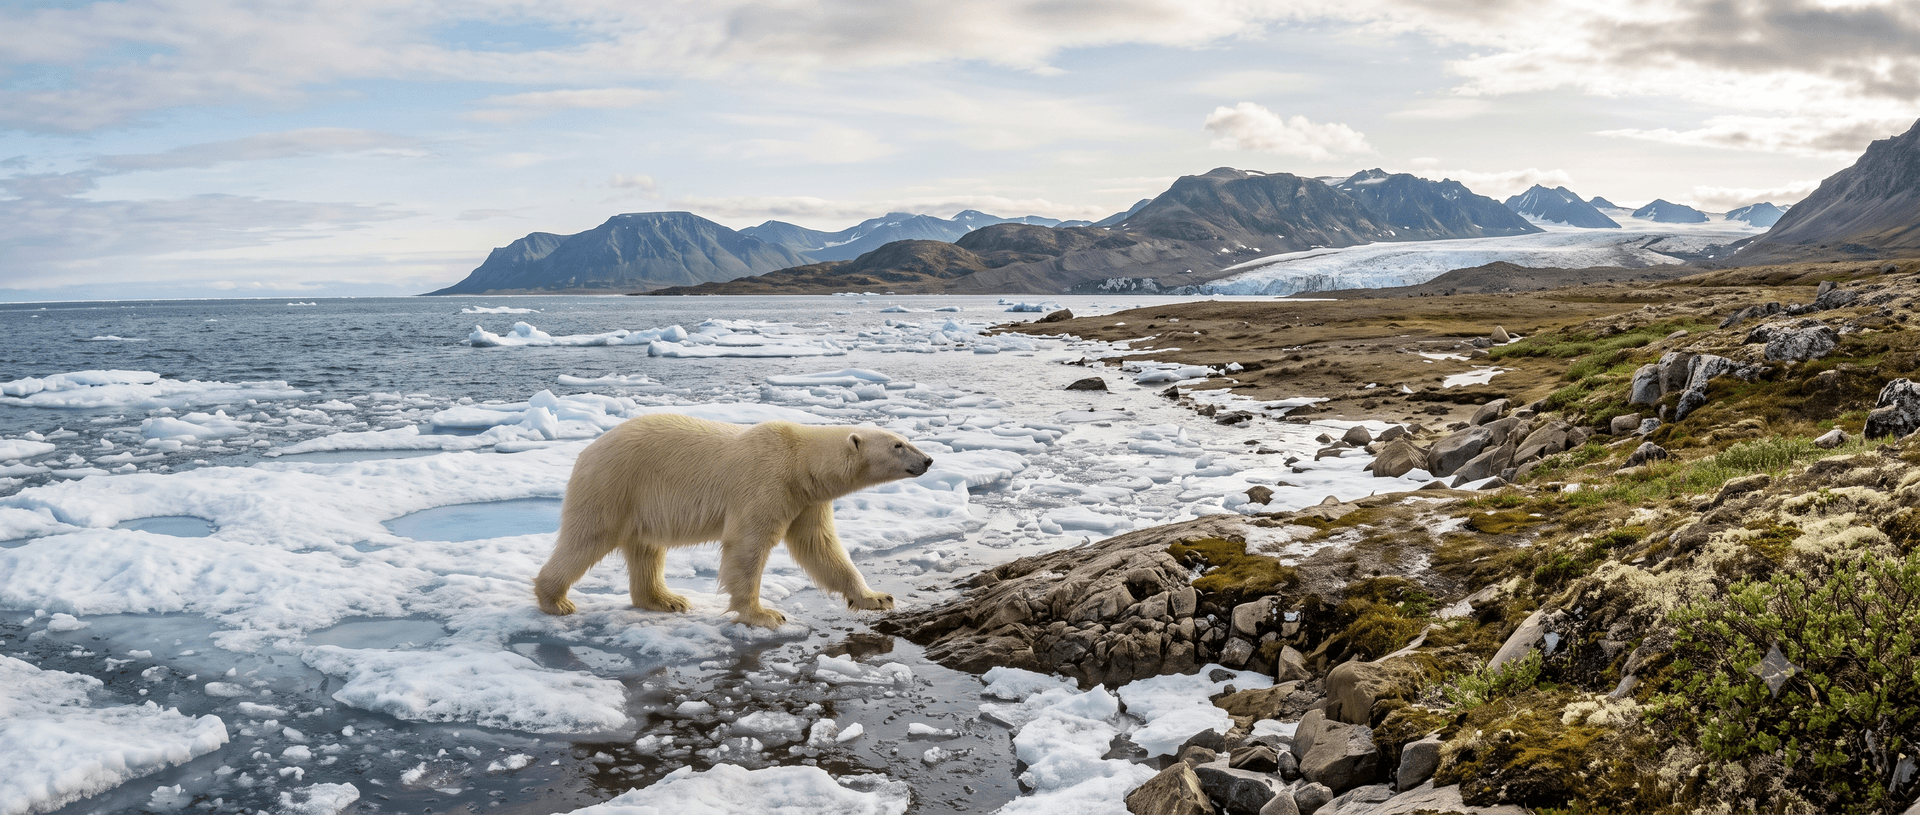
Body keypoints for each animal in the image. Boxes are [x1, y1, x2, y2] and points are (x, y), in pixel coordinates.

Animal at [533, 413, 934, 628]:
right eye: (898, 445)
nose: (929, 459)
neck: (800, 460)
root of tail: (586, 451)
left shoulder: (807, 500)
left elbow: (820, 548)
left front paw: (877, 597)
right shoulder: (767, 484)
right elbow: (747, 547)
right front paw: (765, 614)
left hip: (639, 502)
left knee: (646, 548)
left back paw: (667, 600)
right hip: (614, 486)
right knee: (587, 538)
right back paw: (556, 601)